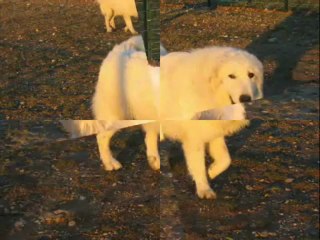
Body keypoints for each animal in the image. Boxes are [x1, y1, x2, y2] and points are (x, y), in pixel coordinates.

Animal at [61, 35, 264, 200]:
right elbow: (198, 165)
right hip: (117, 116)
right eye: (231, 76)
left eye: (251, 75)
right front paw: (204, 188)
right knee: (101, 136)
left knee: (148, 136)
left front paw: (212, 172)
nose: (246, 98)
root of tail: (121, 49)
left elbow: (225, 159)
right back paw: (109, 162)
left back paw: (154, 160)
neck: (208, 87)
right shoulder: (194, 139)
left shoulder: (212, 131)